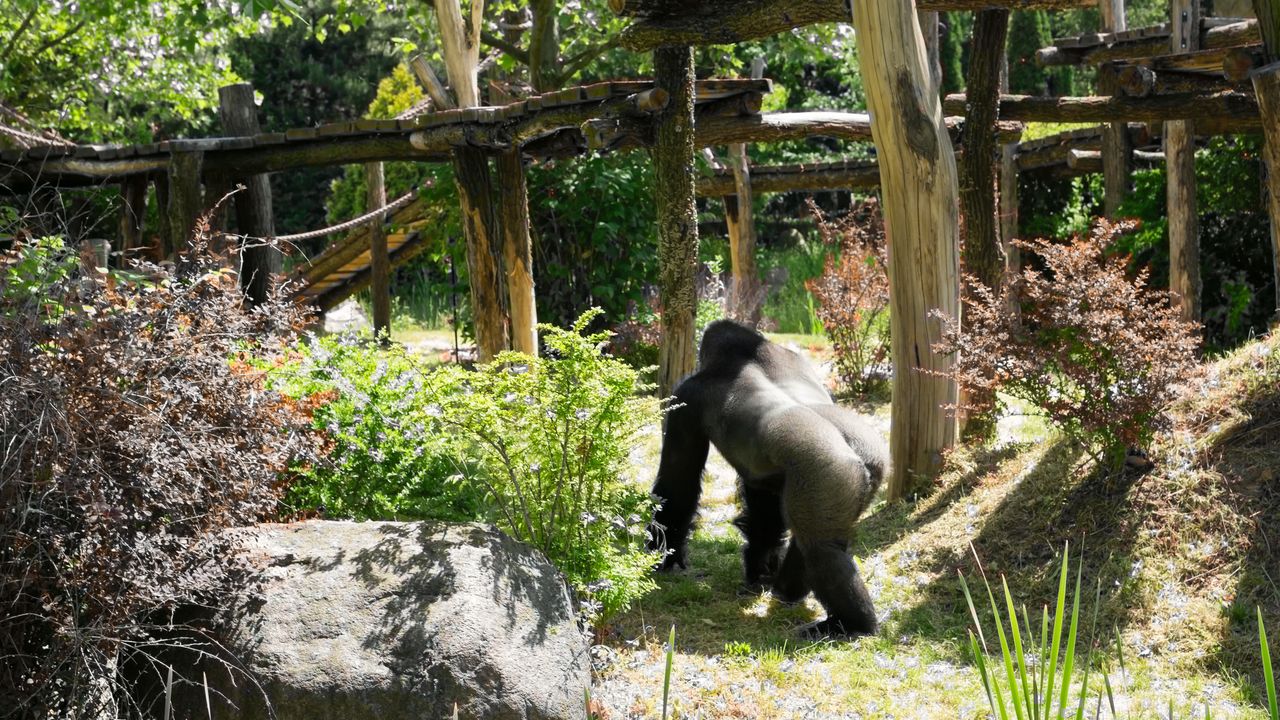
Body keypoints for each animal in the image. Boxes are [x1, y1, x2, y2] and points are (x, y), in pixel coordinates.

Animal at [645, 317, 885, 632]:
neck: (744, 353)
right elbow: (764, 507)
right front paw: (759, 568)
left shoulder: (686, 397)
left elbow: (678, 486)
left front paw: (664, 555)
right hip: (865, 470)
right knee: (815, 537)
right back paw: (789, 589)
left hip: (829, 471)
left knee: (821, 550)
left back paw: (851, 624)